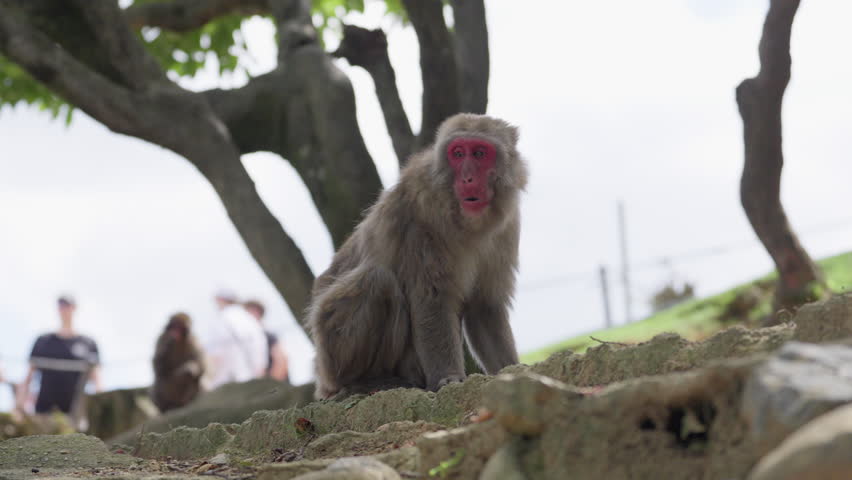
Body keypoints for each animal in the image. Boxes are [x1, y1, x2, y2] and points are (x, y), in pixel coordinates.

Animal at [307, 113, 528, 399]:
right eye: (458, 153)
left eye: (480, 153)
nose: (468, 178)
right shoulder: (420, 218)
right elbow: (432, 298)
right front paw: (449, 378)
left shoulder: (507, 227)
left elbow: (485, 305)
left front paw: (512, 371)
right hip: (330, 350)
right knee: (377, 280)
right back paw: (363, 382)